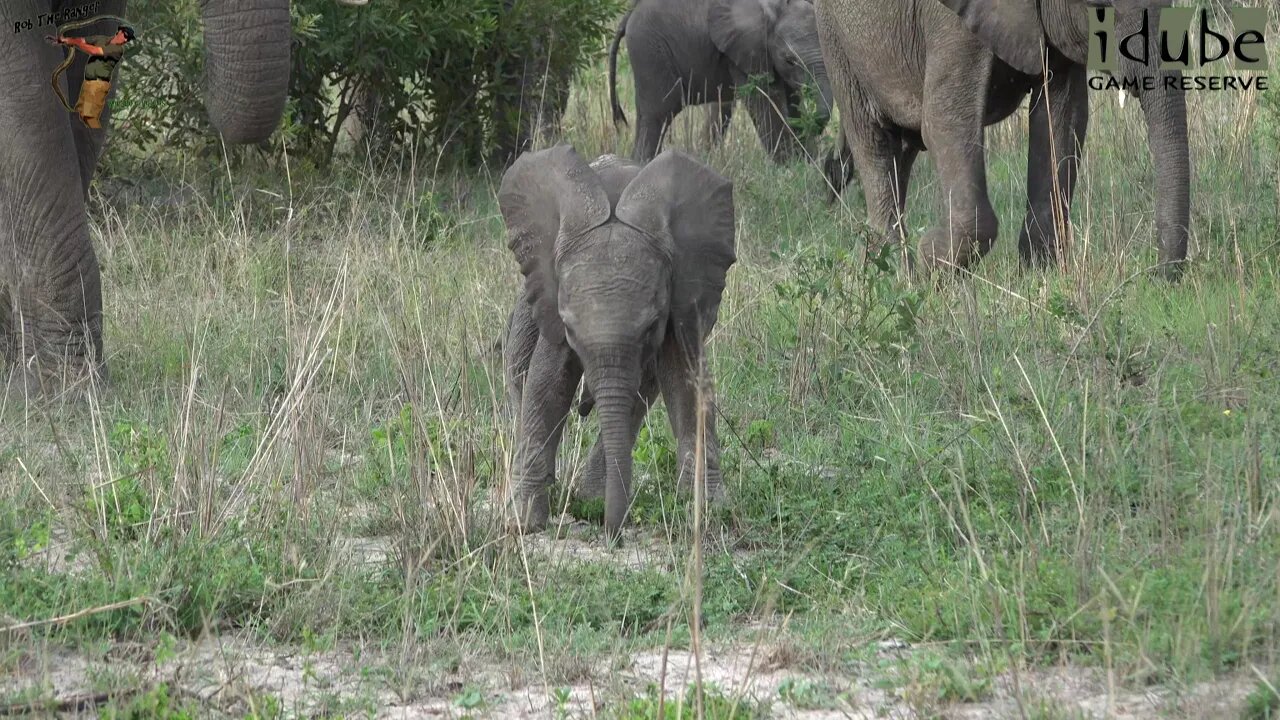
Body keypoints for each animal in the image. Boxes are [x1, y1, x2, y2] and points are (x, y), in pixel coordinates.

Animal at [501, 144, 742, 538]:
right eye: (569, 328)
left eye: (652, 326)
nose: (613, 534)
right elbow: (547, 385)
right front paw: (523, 524)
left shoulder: (682, 293)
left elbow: (688, 385)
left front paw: (709, 513)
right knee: (522, 382)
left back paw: (591, 499)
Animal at [606, 0, 834, 162]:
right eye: (789, 60)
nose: (813, 126)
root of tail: (629, 14)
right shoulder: (746, 50)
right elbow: (766, 102)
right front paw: (790, 167)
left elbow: (792, 100)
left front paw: (808, 163)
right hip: (649, 51)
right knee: (658, 113)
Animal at [814, 0, 1192, 278]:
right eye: (1101, 5)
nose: (1158, 277)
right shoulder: (948, 21)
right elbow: (943, 119)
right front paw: (932, 260)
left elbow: (1062, 117)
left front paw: (1039, 275)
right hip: (836, 37)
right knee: (875, 142)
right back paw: (896, 275)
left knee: (901, 150)